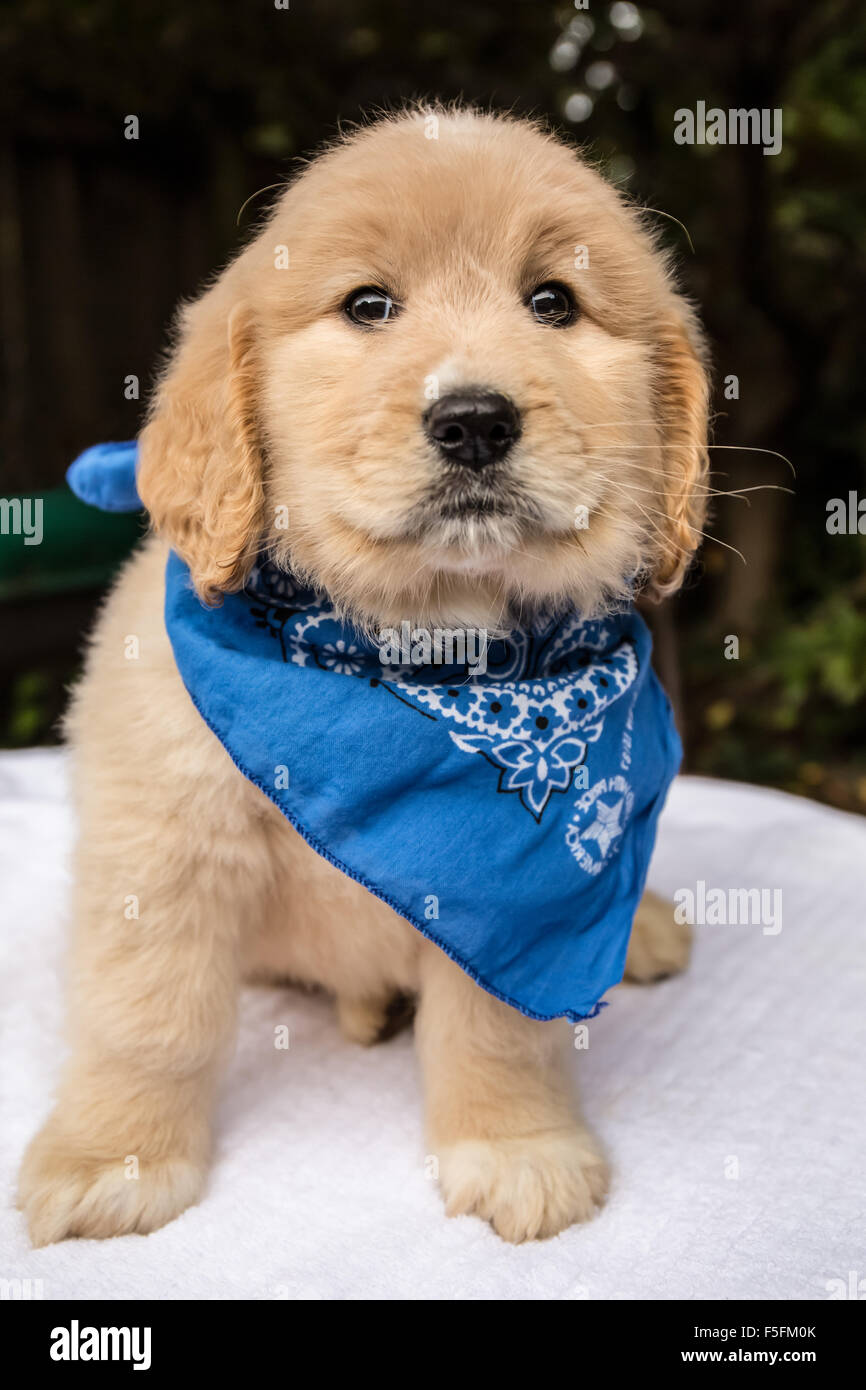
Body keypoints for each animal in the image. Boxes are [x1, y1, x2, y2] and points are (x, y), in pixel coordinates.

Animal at [18, 102, 711, 1245]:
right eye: (369, 306)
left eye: (552, 303)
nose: (473, 421)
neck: (418, 650)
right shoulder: (162, 847)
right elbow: (146, 1017)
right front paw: (110, 1154)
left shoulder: (505, 916)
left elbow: (496, 1028)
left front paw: (515, 1148)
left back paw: (642, 927)